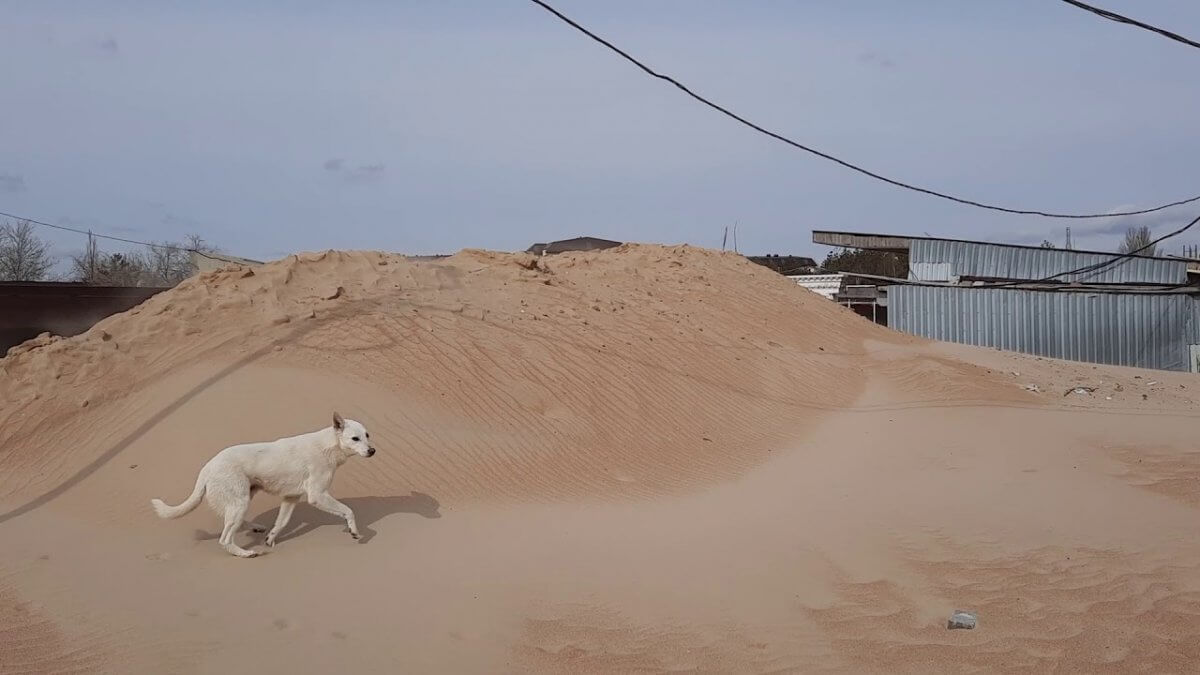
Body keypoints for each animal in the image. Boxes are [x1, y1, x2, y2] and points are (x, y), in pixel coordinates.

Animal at [151, 410, 374, 557]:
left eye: (367, 435)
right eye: (355, 439)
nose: (372, 451)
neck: (329, 445)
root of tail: (207, 468)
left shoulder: (291, 498)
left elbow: (281, 523)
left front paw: (270, 538)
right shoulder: (317, 495)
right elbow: (348, 511)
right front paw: (355, 531)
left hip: (242, 499)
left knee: (233, 524)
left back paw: (256, 528)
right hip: (240, 502)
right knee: (225, 539)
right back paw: (245, 553)